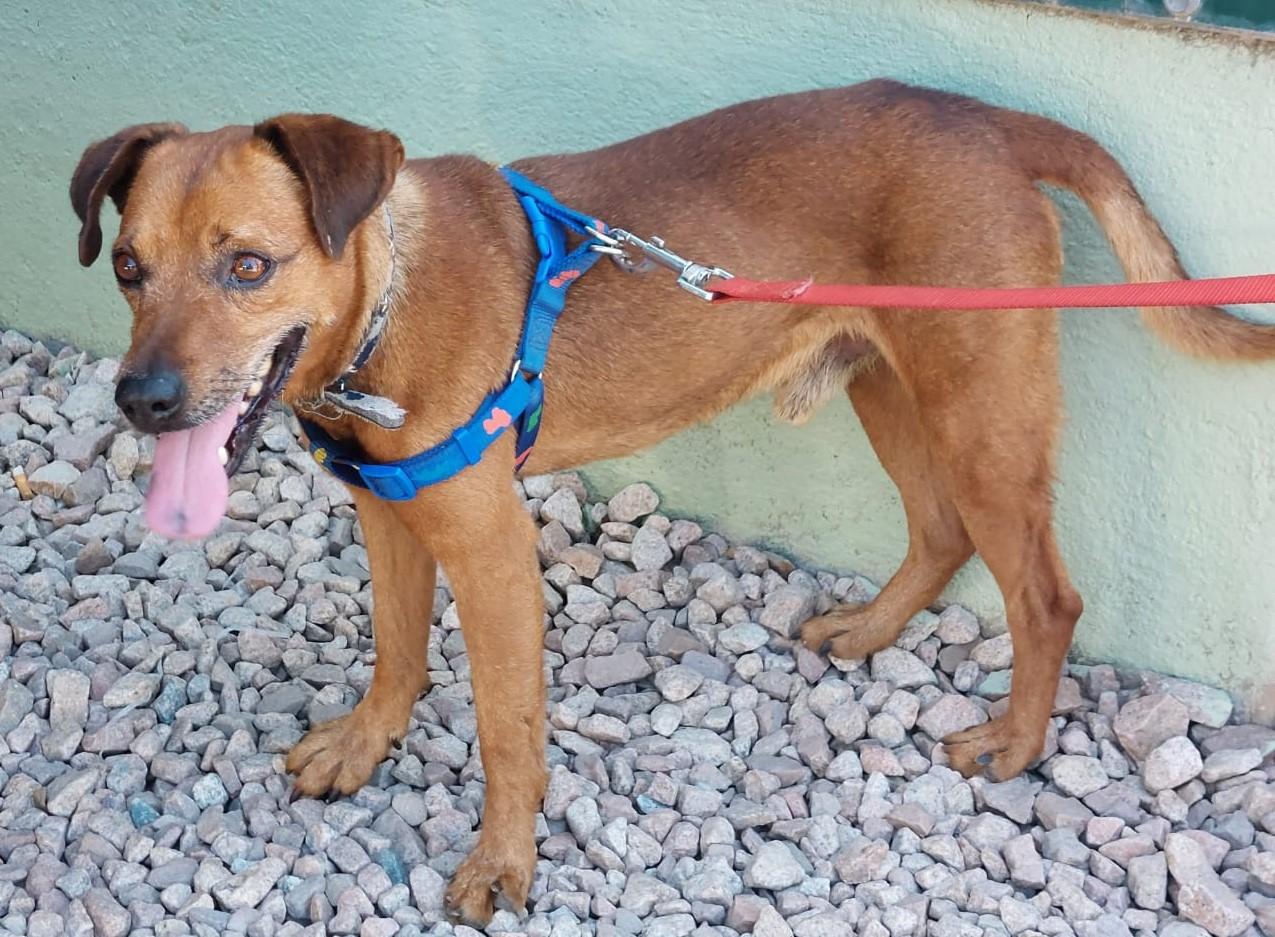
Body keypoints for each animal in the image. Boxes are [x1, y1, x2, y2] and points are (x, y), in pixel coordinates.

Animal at [69, 79, 1275, 923]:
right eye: (128, 267)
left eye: (248, 266)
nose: (142, 402)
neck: (383, 302)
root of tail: (989, 120)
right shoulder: (391, 517)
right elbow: (397, 652)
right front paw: (366, 746)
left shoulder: (492, 553)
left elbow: (506, 730)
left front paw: (502, 862)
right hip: (885, 378)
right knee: (938, 534)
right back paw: (869, 631)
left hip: (980, 411)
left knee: (1044, 594)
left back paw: (1017, 745)